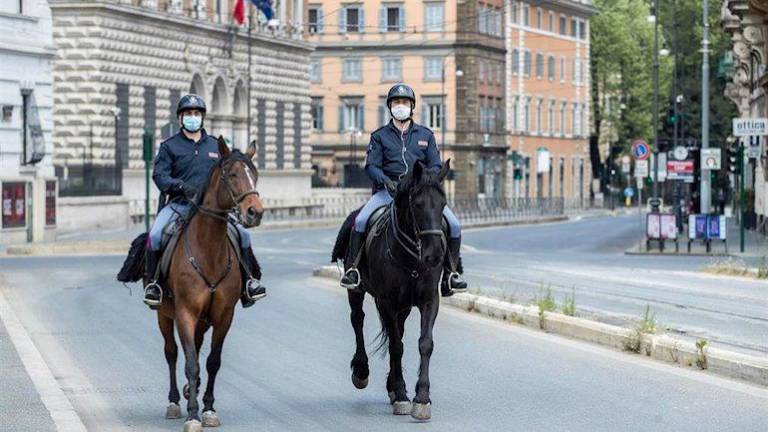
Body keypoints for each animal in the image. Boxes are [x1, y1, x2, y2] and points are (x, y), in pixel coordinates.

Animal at [156, 137, 264, 430]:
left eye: (255, 174)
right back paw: (174, 401)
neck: (208, 250)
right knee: (172, 352)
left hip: (203, 320)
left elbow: (213, 361)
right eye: (232, 174)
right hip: (164, 315)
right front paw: (193, 414)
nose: (255, 212)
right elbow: (191, 362)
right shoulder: (185, 312)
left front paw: (208, 408)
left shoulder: (224, 315)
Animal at [332, 160, 450, 420]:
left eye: (443, 204)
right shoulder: (387, 301)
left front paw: (421, 398)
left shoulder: (429, 300)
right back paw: (362, 370)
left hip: (403, 306)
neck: (413, 258)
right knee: (358, 320)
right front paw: (403, 395)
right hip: (358, 292)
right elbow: (396, 347)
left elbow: (425, 343)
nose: (435, 255)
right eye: (417, 204)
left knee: (400, 331)